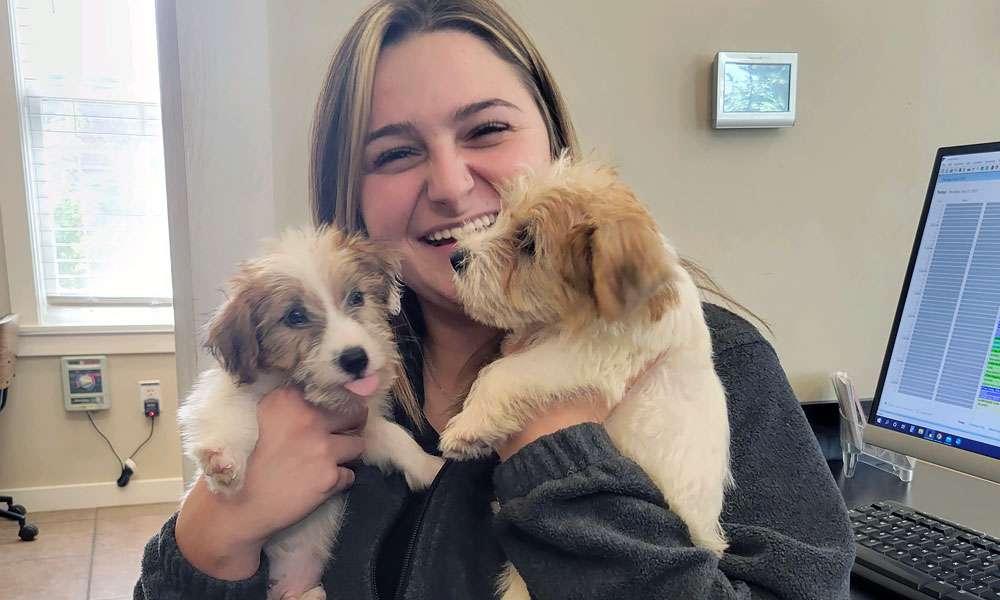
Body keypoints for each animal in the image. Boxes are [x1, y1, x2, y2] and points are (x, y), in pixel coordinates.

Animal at [179, 226, 442, 600]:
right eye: (294, 316)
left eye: (357, 297)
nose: (355, 358)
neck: (311, 396)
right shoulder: (221, 392)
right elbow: (234, 413)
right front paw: (222, 458)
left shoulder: (360, 427)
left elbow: (394, 436)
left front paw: (430, 466)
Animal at [442, 158, 732, 600]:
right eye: (504, 214)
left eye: (528, 244)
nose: (456, 257)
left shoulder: (584, 358)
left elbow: (502, 373)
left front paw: (466, 430)